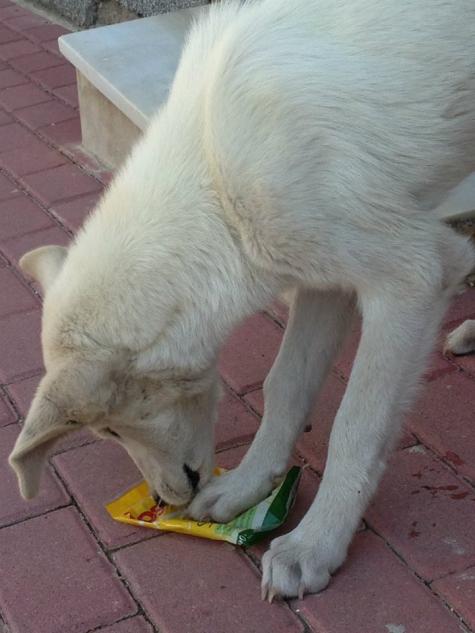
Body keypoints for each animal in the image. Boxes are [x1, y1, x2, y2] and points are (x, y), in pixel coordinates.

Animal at [8, 0, 475, 600]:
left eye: (108, 430)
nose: (164, 502)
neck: (216, 178)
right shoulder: (325, 279)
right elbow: (285, 386)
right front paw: (247, 488)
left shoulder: (415, 277)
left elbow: (355, 427)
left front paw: (315, 544)